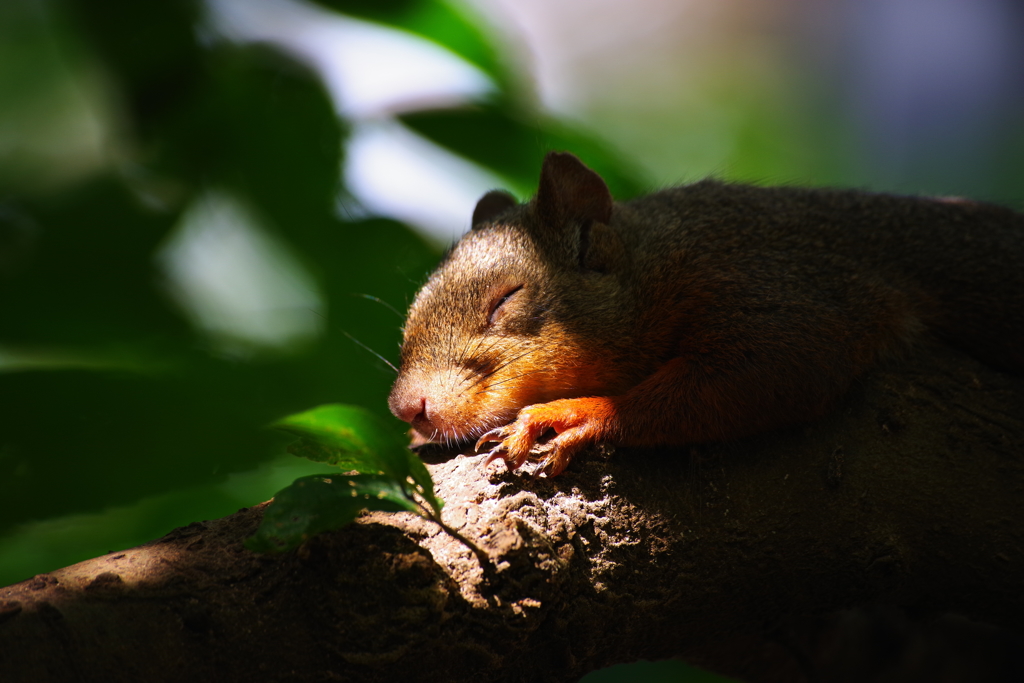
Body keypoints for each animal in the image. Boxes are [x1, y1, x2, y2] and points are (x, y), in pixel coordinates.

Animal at [385, 152, 1024, 479]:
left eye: (506, 299)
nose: (407, 407)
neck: (659, 259)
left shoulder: (784, 286)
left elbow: (770, 368)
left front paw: (571, 413)